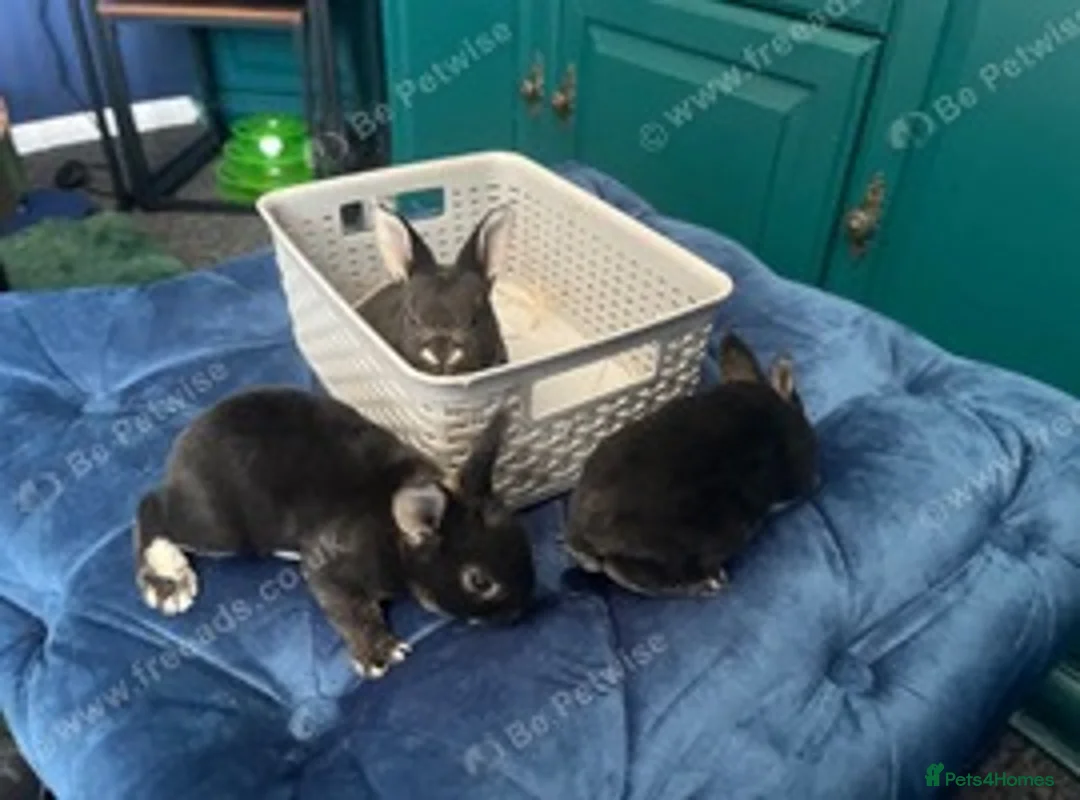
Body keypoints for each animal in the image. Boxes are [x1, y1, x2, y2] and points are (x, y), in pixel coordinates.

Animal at [132, 386, 534, 679]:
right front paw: (380, 653)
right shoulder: (331, 570)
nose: (520, 612)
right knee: (150, 507)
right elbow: (350, 608)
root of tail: (183, 445)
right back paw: (167, 581)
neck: (396, 537)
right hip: (220, 528)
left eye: (524, 540)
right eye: (479, 582)